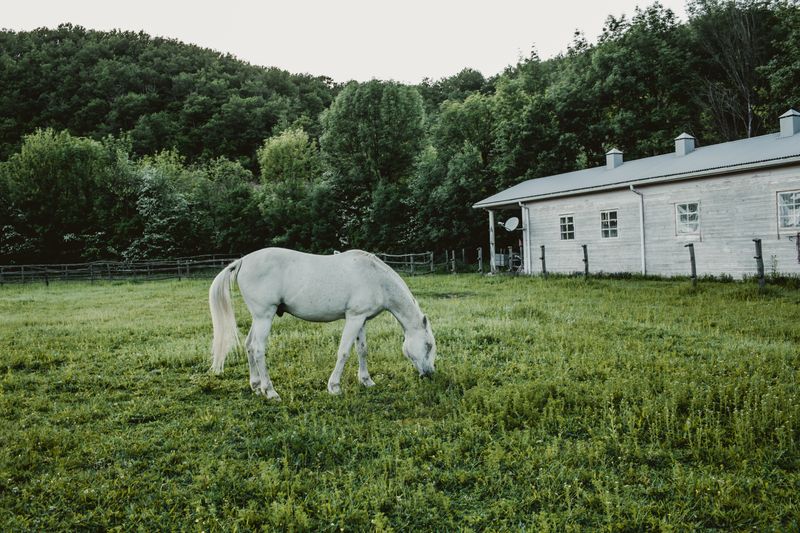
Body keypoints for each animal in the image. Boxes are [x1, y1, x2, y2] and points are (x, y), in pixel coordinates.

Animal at [208, 248, 436, 400]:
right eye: (428, 345)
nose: (430, 373)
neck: (376, 278)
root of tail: (242, 261)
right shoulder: (353, 318)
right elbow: (344, 352)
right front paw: (334, 387)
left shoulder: (360, 319)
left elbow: (362, 350)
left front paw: (367, 381)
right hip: (264, 316)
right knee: (257, 349)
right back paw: (270, 391)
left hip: (258, 319)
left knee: (248, 346)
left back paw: (256, 386)